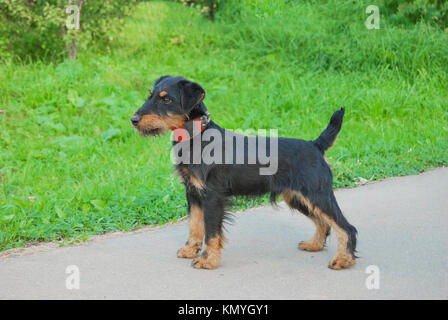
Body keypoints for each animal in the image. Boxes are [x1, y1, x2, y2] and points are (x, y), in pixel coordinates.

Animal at [130, 75, 356, 270]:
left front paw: (207, 260)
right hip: (297, 197)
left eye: (166, 99)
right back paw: (314, 245)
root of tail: (315, 145)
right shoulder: (193, 193)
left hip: (317, 194)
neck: (197, 136)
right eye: (150, 95)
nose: (133, 119)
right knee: (324, 223)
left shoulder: (212, 197)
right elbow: (194, 225)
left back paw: (344, 259)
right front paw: (190, 249)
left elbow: (211, 231)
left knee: (346, 227)